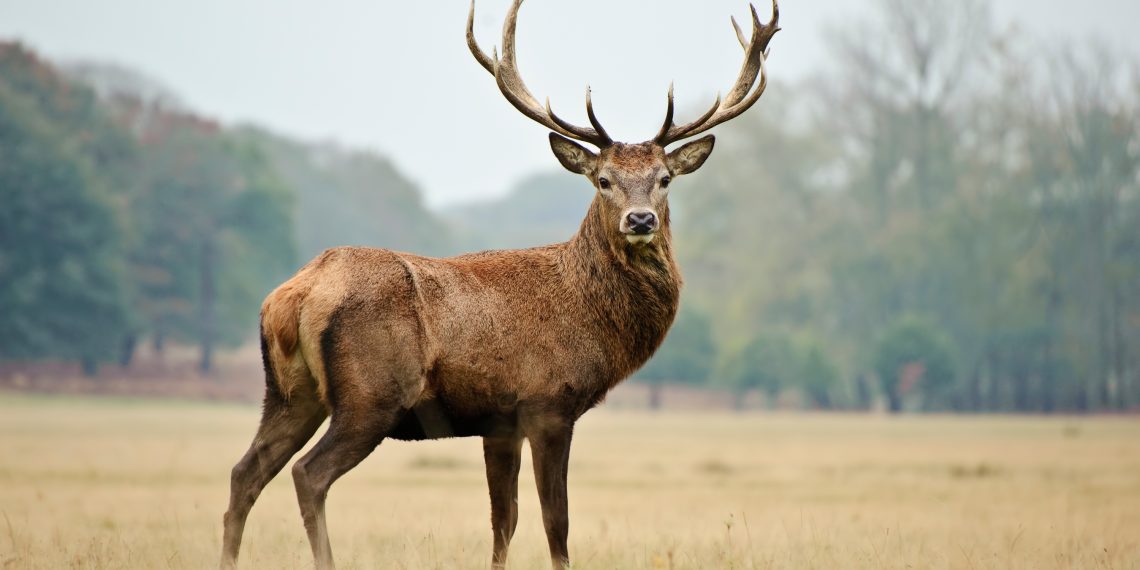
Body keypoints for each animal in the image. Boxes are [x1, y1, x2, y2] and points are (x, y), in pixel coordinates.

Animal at [219, 1, 779, 568]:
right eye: (603, 180)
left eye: (665, 179)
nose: (640, 219)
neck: (591, 317)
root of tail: (293, 295)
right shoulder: (548, 403)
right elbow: (557, 522)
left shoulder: (498, 422)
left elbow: (502, 522)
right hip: (370, 395)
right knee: (307, 474)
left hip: (289, 393)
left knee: (245, 472)